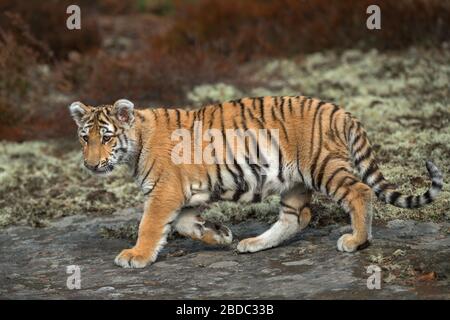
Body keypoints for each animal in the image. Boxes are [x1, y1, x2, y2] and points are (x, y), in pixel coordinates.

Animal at [70, 97, 442, 268]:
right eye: (84, 138)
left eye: (106, 138)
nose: (90, 164)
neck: (136, 143)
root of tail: (339, 110)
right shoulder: (185, 194)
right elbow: (185, 225)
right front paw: (219, 235)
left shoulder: (165, 193)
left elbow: (149, 225)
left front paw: (136, 255)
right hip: (294, 181)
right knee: (297, 218)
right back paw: (253, 244)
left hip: (322, 166)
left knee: (360, 191)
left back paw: (356, 241)